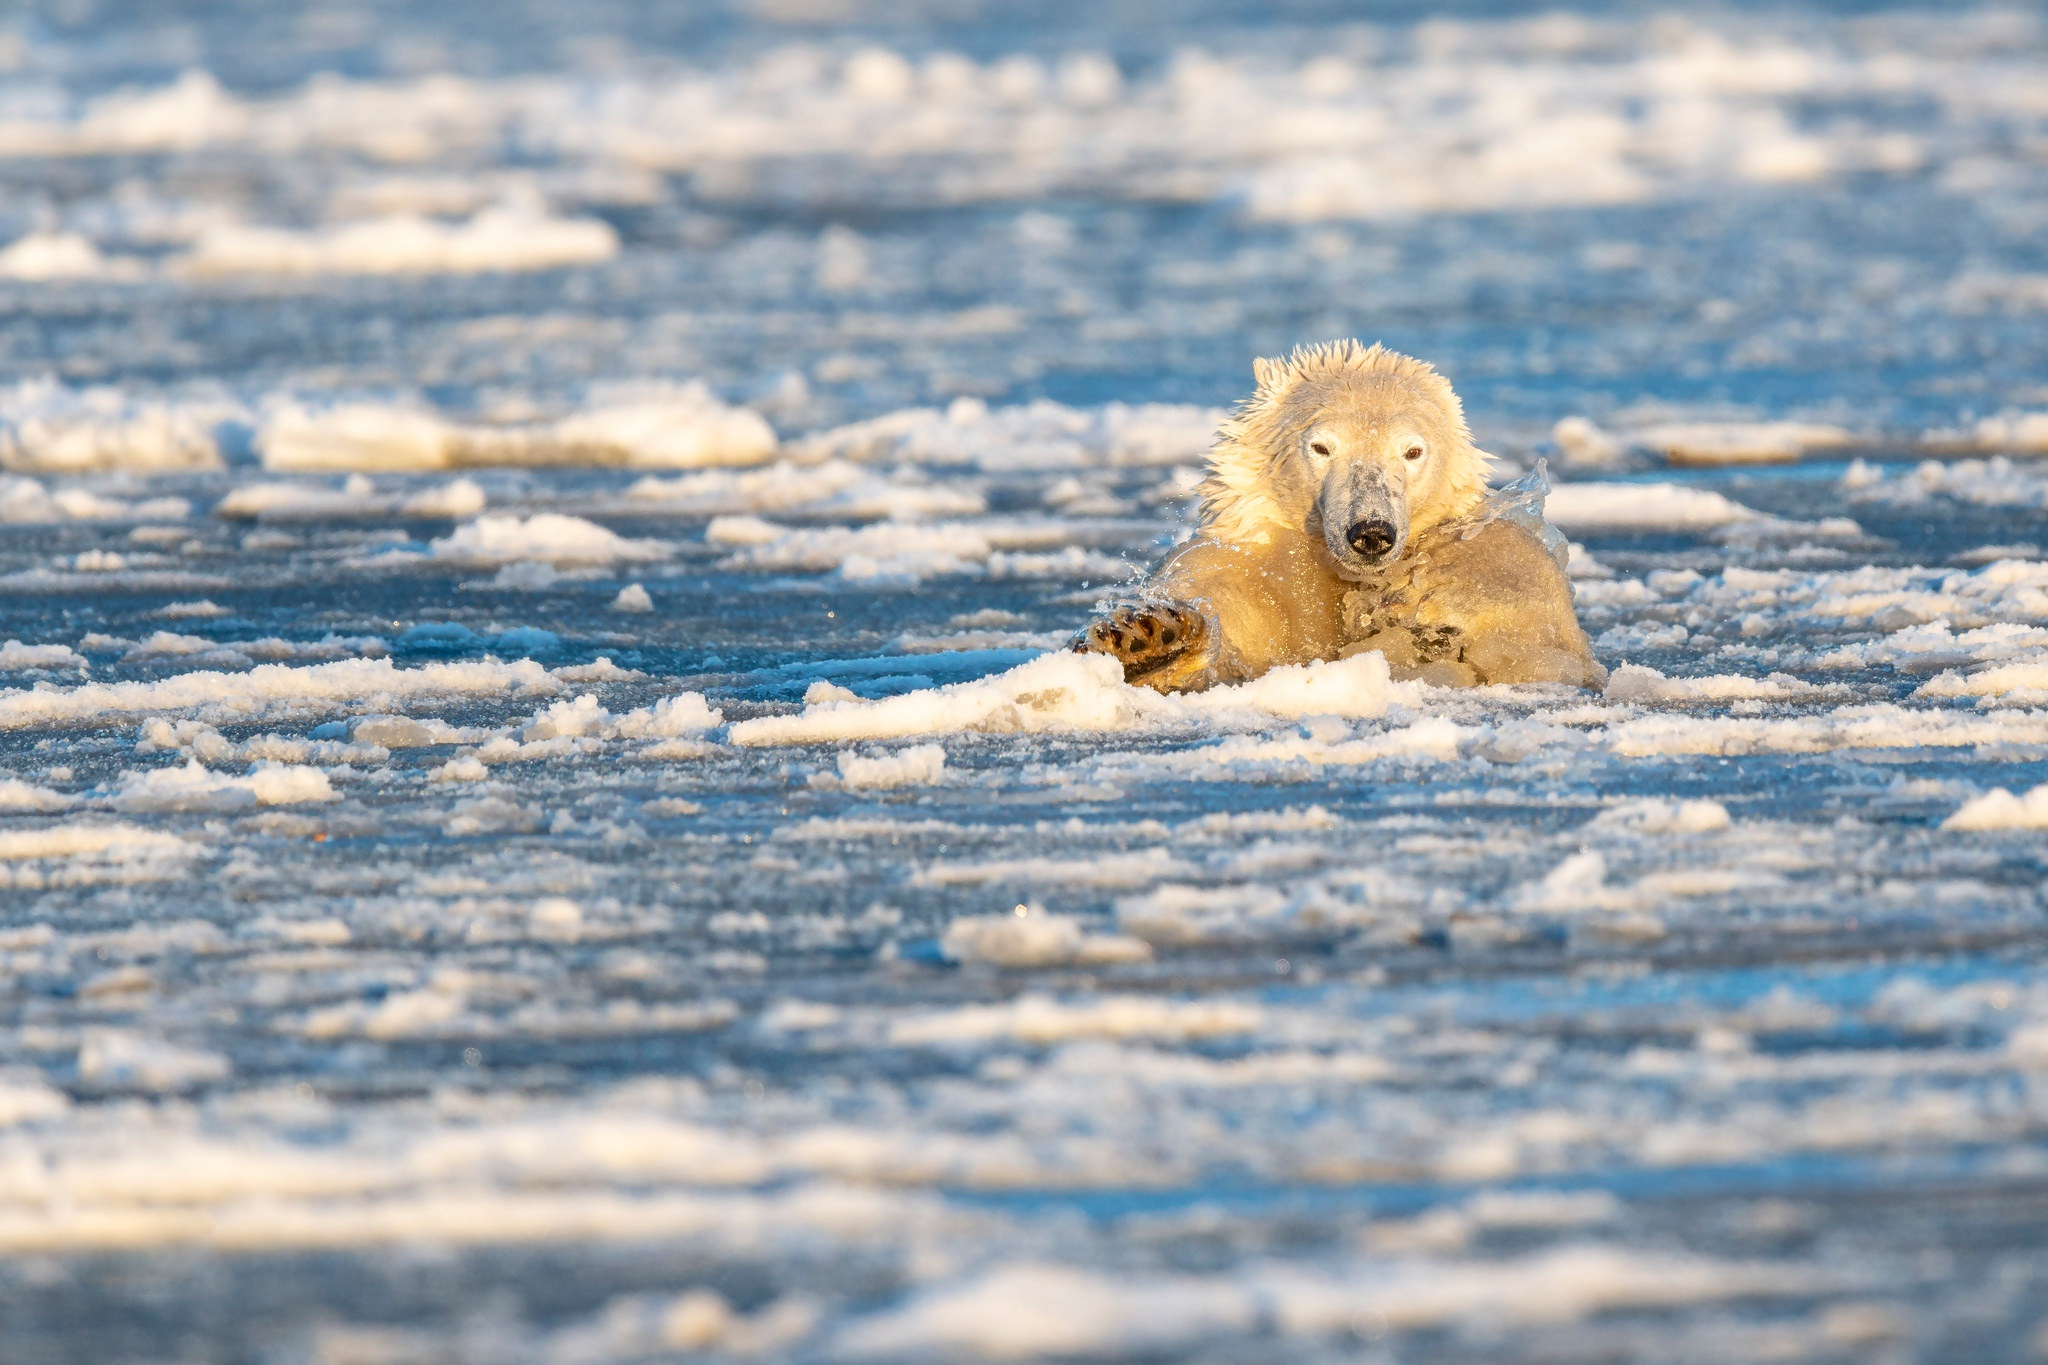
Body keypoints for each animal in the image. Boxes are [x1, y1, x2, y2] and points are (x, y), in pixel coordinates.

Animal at [1073, 335, 1597, 687]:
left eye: (1412, 451)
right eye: (1322, 446)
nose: (1371, 532)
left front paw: (1434, 595)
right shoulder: (1252, 564)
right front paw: (1148, 639)